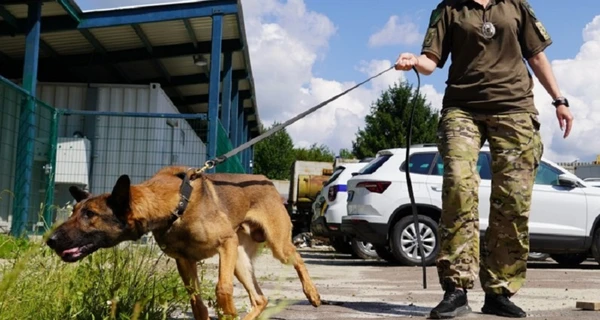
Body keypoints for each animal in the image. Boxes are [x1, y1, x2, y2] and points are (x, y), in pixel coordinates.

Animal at [45, 166, 324, 318]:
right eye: (74, 212)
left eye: (90, 215)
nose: (51, 240)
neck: (175, 208)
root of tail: (266, 180)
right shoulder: (185, 262)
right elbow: (197, 304)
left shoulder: (225, 243)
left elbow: (222, 289)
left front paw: (227, 311)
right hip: (240, 261)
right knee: (260, 299)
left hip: (275, 246)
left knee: (297, 258)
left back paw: (312, 292)